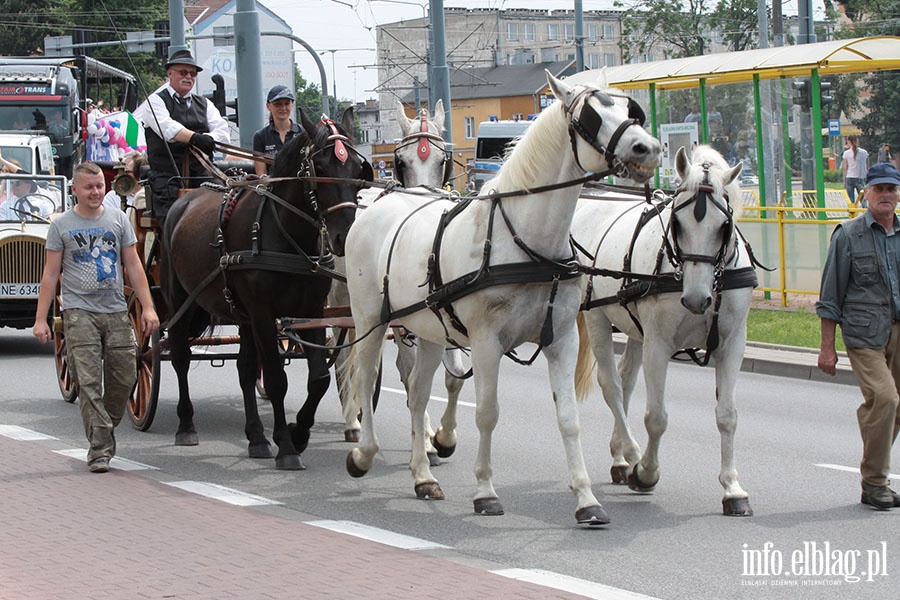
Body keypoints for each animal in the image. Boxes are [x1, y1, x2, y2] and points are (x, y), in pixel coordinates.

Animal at [159, 109, 372, 474]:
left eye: (358, 169)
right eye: (320, 166)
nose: (345, 235)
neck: (285, 233)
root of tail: (184, 198)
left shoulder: (310, 312)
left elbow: (318, 378)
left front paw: (298, 432)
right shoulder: (263, 314)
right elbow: (275, 379)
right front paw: (287, 446)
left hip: (241, 315)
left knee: (245, 370)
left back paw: (256, 437)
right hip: (180, 303)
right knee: (181, 357)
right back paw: (186, 426)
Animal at [328, 99, 460, 464]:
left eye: (443, 160)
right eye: (401, 162)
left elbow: (452, 379)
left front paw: (442, 436)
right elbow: (415, 377)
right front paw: (427, 440)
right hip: (343, 302)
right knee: (344, 358)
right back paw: (352, 422)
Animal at [344, 71, 660, 524]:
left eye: (630, 110)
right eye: (591, 116)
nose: (647, 148)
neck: (525, 242)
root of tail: (375, 206)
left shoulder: (561, 339)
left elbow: (569, 418)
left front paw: (586, 499)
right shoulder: (486, 342)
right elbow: (487, 413)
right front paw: (485, 491)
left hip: (429, 329)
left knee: (417, 391)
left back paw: (422, 474)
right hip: (370, 320)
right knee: (366, 377)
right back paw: (363, 452)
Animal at [572, 144, 756, 516]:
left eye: (724, 226)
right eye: (677, 223)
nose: (697, 299)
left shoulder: (732, 344)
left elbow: (727, 415)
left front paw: (732, 488)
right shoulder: (658, 344)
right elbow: (656, 417)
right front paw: (646, 472)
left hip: (632, 327)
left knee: (626, 380)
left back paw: (620, 458)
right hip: (598, 319)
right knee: (612, 386)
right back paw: (631, 456)